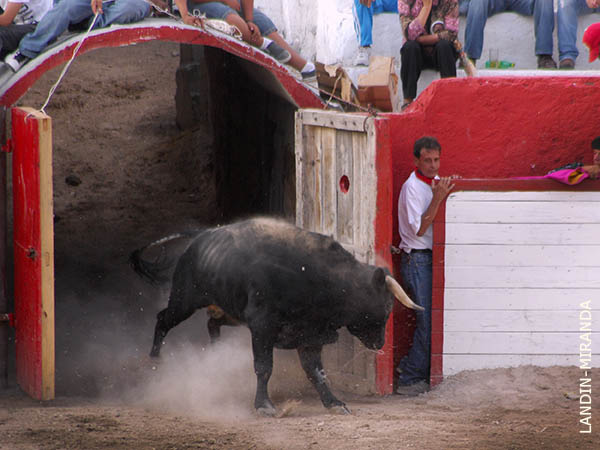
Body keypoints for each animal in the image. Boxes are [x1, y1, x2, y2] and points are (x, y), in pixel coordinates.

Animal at [131, 218, 422, 414]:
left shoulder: (309, 335)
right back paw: (154, 360)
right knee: (163, 319)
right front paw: (264, 405)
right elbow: (264, 367)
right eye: (384, 307)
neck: (320, 278)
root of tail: (201, 236)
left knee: (212, 322)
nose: (380, 343)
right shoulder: (262, 327)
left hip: (230, 312)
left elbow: (317, 372)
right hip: (185, 300)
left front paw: (334, 403)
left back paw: (214, 356)